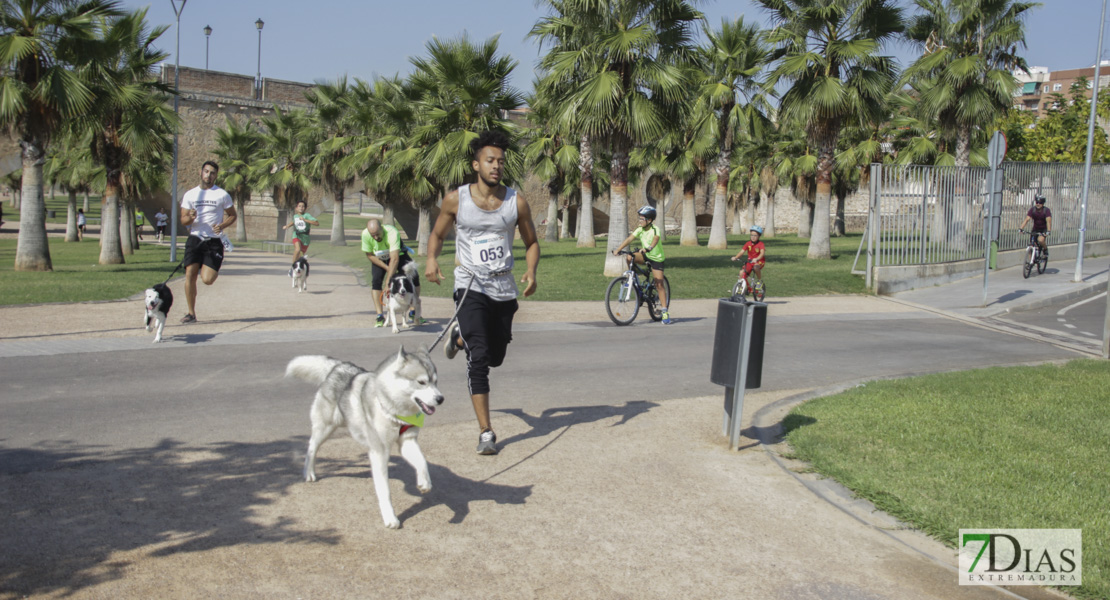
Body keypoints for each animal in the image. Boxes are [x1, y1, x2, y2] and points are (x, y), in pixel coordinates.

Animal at [286, 346, 446, 527]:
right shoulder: (380, 452)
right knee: (312, 446)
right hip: (326, 428)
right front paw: (390, 517)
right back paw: (309, 472)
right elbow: (384, 490)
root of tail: (339, 365)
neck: (393, 409)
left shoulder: (407, 441)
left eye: (435, 382)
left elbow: (422, 461)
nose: (440, 399)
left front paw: (424, 481)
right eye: (421, 382)